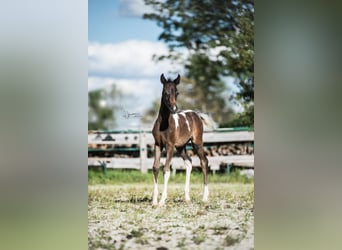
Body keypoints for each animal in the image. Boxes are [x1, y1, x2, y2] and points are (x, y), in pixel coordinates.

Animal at [152, 73, 211, 206]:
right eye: (165, 92)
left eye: (177, 92)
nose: (174, 108)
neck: (164, 124)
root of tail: (196, 114)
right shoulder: (158, 144)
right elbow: (156, 168)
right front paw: (154, 200)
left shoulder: (170, 146)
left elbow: (166, 170)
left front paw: (162, 200)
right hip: (181, 147)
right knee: (188, 162)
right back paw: (187, 197)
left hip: (197, 142)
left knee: (204, 161)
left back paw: (205, 197)